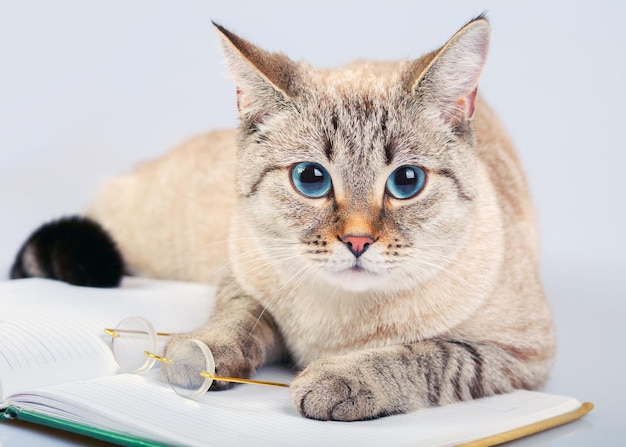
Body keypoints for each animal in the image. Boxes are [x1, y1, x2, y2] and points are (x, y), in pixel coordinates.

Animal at [13, 15, 552, 422]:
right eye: (311, 178)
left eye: (407, 181)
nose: (358, 241)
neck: (338, 321)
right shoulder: (244, 273)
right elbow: (235, 318)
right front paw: (200, 354)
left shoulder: (520, 354)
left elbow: (428, 354)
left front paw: (343, 377)